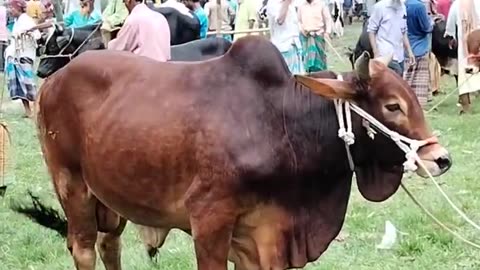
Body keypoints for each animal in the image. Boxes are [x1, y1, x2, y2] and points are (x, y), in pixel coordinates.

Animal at [14, 36, 450, 270]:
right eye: (392, 105)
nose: (440, 158)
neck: (282, 123)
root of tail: (54, 79)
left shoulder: (265, 233)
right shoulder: (210, 219)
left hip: (110, 196)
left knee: (110, 245)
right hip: (71, 185)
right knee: (84, 248)